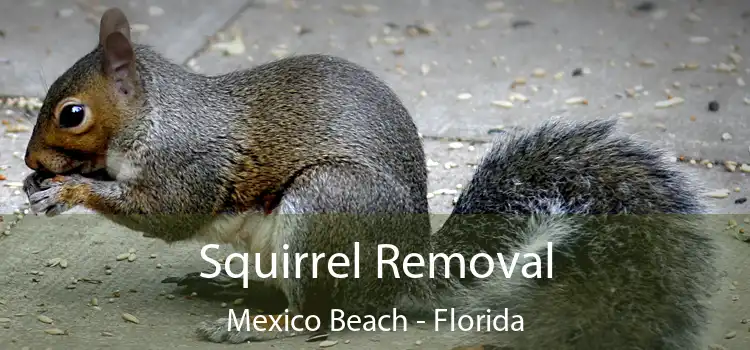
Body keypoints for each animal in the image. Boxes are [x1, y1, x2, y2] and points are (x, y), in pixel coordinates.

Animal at [20, 7, 720, 350]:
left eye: (71, 113)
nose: (29, 164)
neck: (155, 114)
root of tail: (400, 269)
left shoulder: (191, 160)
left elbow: (168, 213)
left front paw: (70, 190)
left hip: (326, 205)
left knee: (319, 319)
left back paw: (251, 325)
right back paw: (222, 290)